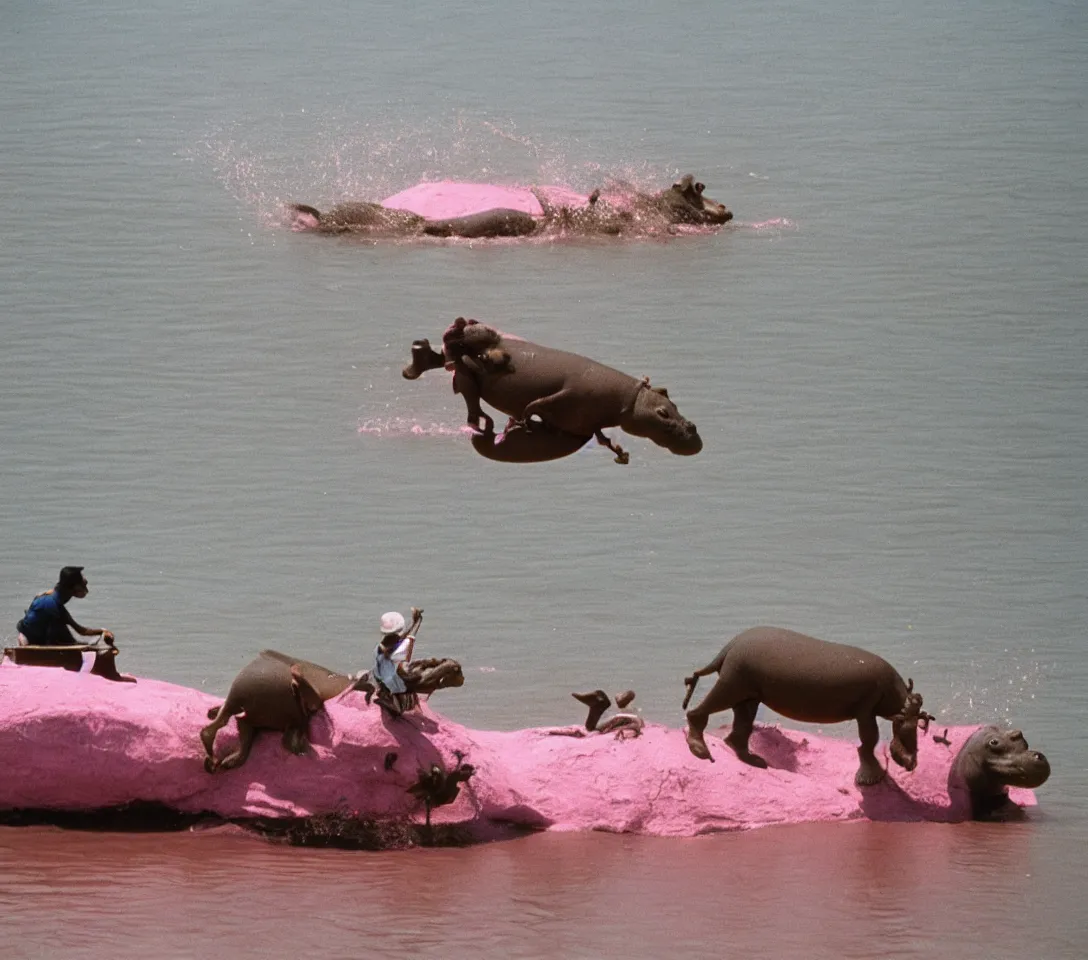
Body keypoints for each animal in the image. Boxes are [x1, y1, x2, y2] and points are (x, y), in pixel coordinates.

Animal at [683, 622, 931, 783]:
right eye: (906, 727)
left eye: (920, 724)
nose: (913, 763)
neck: (899, 699)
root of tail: (730, 646)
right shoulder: (866, 709)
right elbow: (869, 740)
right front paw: (869, 778)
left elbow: (869, 741)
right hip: (732, 684)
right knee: (698, 712)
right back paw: (700, 750)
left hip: (747, 694)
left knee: (739, 729)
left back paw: (756, 761)